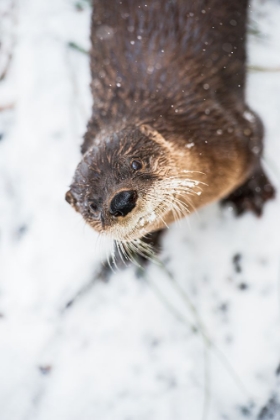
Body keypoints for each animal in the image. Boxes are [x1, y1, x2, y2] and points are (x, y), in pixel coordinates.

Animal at [66, 0, 276, 256]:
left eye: (136, 163)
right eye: (92, 205)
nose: (121, 201)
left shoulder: (233, 125)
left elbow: (257, 141)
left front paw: (251, 193)